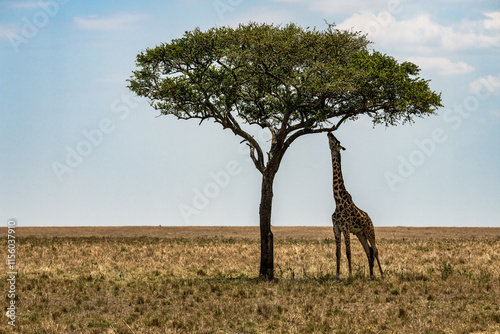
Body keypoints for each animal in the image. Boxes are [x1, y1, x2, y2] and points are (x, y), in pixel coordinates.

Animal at [326, 132, 384, 280]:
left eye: (337, 141)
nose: (329, 132)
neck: (337, 201)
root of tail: (370, 218)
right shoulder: (336, 228)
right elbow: (338, 253)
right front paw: (337, 276)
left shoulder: (346, 228)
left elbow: (348, 252)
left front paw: (350, 275)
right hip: (360, 233)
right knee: (368, 251)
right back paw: (371, 276)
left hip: (369, 230)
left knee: (375, 250)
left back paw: (382, 275)